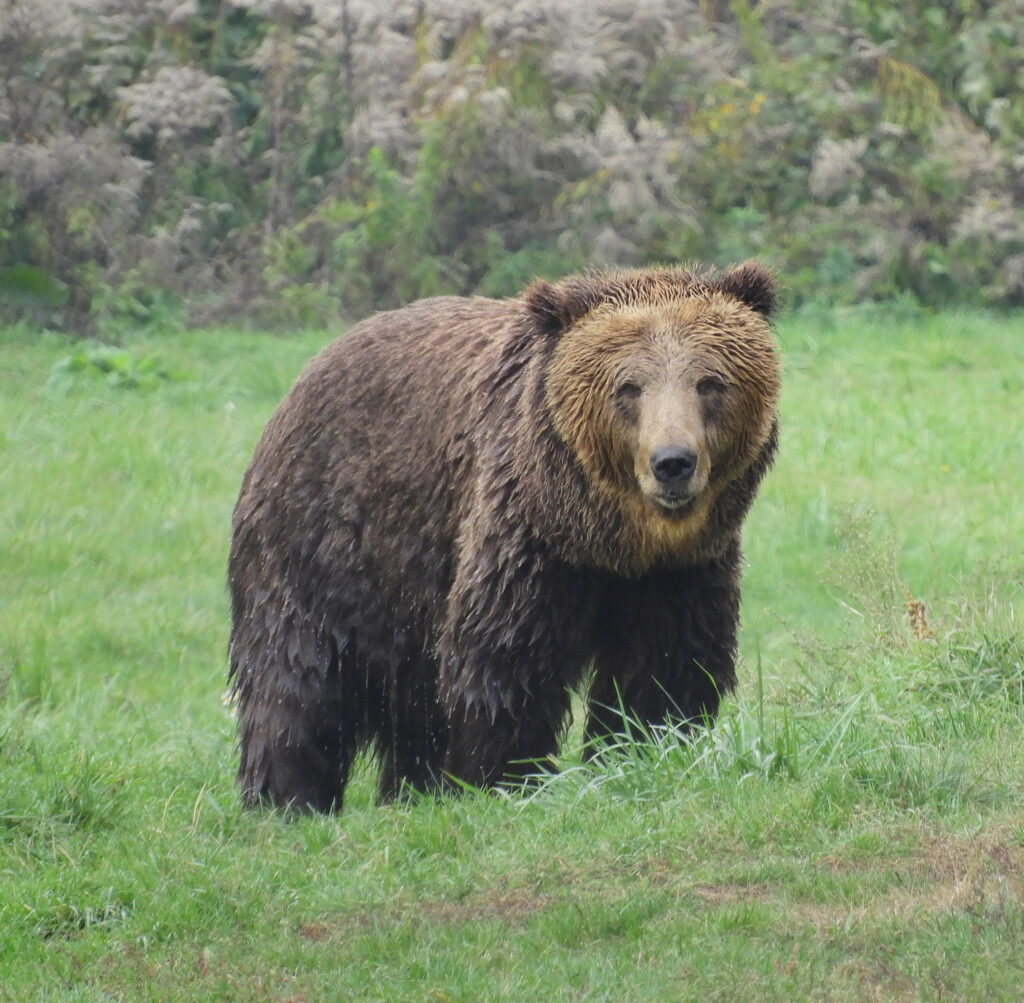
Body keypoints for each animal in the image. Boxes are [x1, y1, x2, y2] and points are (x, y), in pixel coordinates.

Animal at [228, 261, 781, 812]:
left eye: (710, 382)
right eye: (628, 386)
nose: (672, 463)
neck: (608, 539)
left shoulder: (678, 573)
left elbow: (664, 669)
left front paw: (638, 751)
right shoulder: (525, 539)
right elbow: (506, 659)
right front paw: (505, 778)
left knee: (412, 703)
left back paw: (411, 792)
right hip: (324, 541)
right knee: (295, 677)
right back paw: (286, 799)